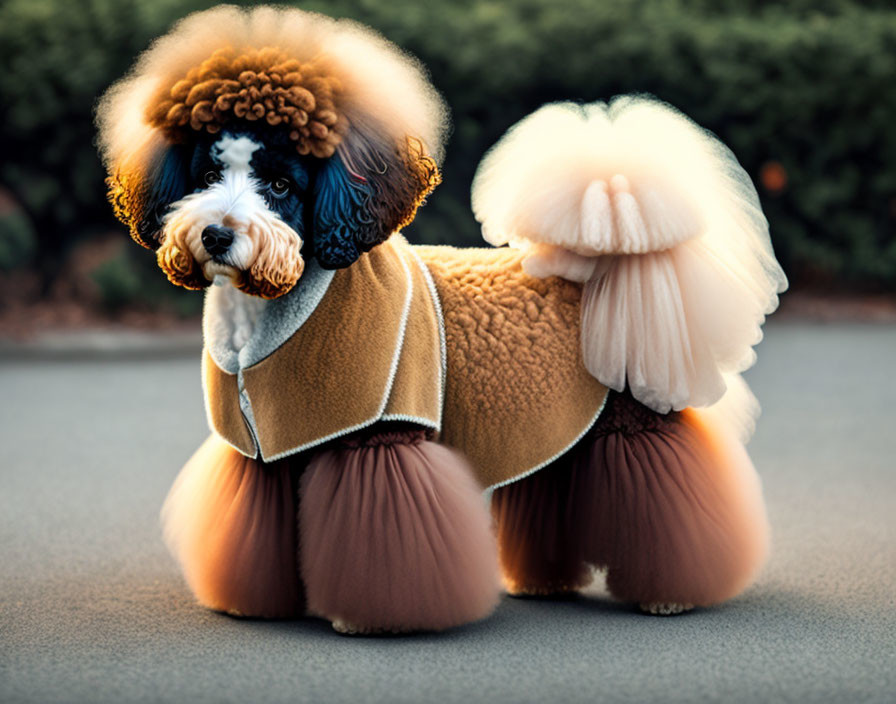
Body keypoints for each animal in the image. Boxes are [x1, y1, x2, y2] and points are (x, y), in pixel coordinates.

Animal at [96, 5, 784, 632]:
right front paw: (252, 603)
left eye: (282, 185)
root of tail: (593, 261)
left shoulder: (381, 438)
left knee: (670, 486)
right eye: (209, 172)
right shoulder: (260, 451)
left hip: (632, 416)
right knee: (552, 480)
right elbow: (255, 524)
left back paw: (675, 593)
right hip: (555, 422)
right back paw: (544, 582)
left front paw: (376, 617)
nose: (215, 234)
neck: (272, 316)